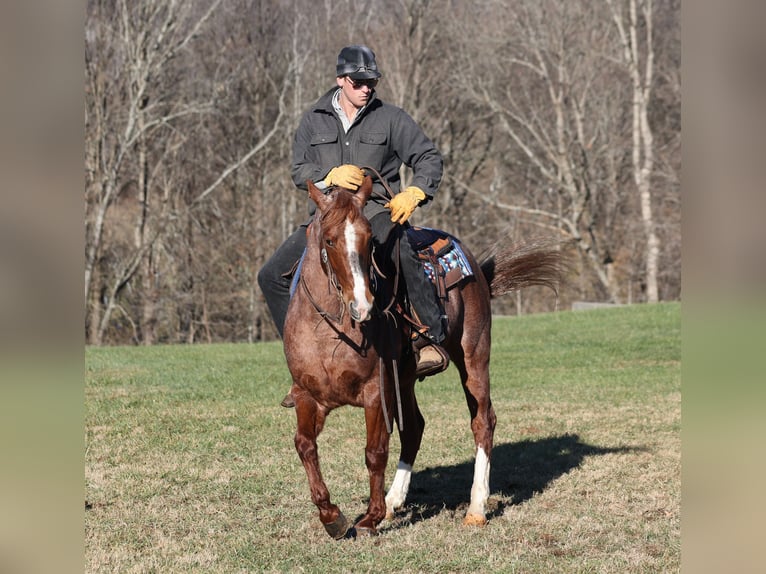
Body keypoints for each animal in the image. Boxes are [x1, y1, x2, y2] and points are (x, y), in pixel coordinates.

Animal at [282, 176, 564, 540]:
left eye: (369, 240)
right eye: (329, 240)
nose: (363, 305)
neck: (332, 331)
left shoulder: (376, 392)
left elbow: (375, 452)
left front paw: (369, 519)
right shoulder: (308, 395)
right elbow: (305, 445)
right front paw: (333, 517)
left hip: (473, 356)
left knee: (483, 421)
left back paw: (475, 508)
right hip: (404, 379)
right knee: (415, 428)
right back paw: (393, 502)